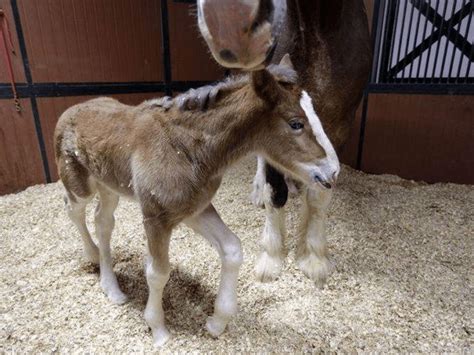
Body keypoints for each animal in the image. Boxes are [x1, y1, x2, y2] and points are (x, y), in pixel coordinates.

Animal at [53, 57, 338, 346]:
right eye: (296, 123)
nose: (333, 172)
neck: (185, 148)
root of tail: (71, 109)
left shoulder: (194, 209)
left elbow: (232, 249)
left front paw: (217, 322)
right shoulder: (156, 218)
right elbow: (158, 272)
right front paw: (158, 330)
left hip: (109, 186)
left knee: (103, 221)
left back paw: (111, 288)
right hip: (80, 185)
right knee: (73, 209)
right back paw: (92, 255)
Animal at [194, 0, 372, 286]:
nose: (227, 17)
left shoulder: (340, 124)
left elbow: (320, 193)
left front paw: (314, 259)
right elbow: (276, 191)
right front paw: (272, 257)